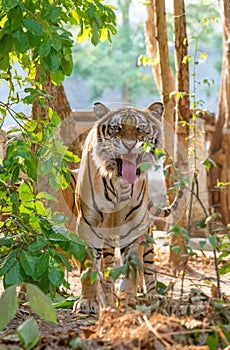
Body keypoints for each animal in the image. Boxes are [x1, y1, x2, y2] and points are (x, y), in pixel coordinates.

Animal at [73, 102, 185, 314]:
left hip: (147, 233)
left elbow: (132, 268)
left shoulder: (135, 226)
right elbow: (89, 267)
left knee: (148, 265)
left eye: (141, 129)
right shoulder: (89, 223)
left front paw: (128, 298)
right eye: (116, 128)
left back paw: (151, 295)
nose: (129, 145)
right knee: (108, 262)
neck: (119, 184)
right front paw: (88, 301)